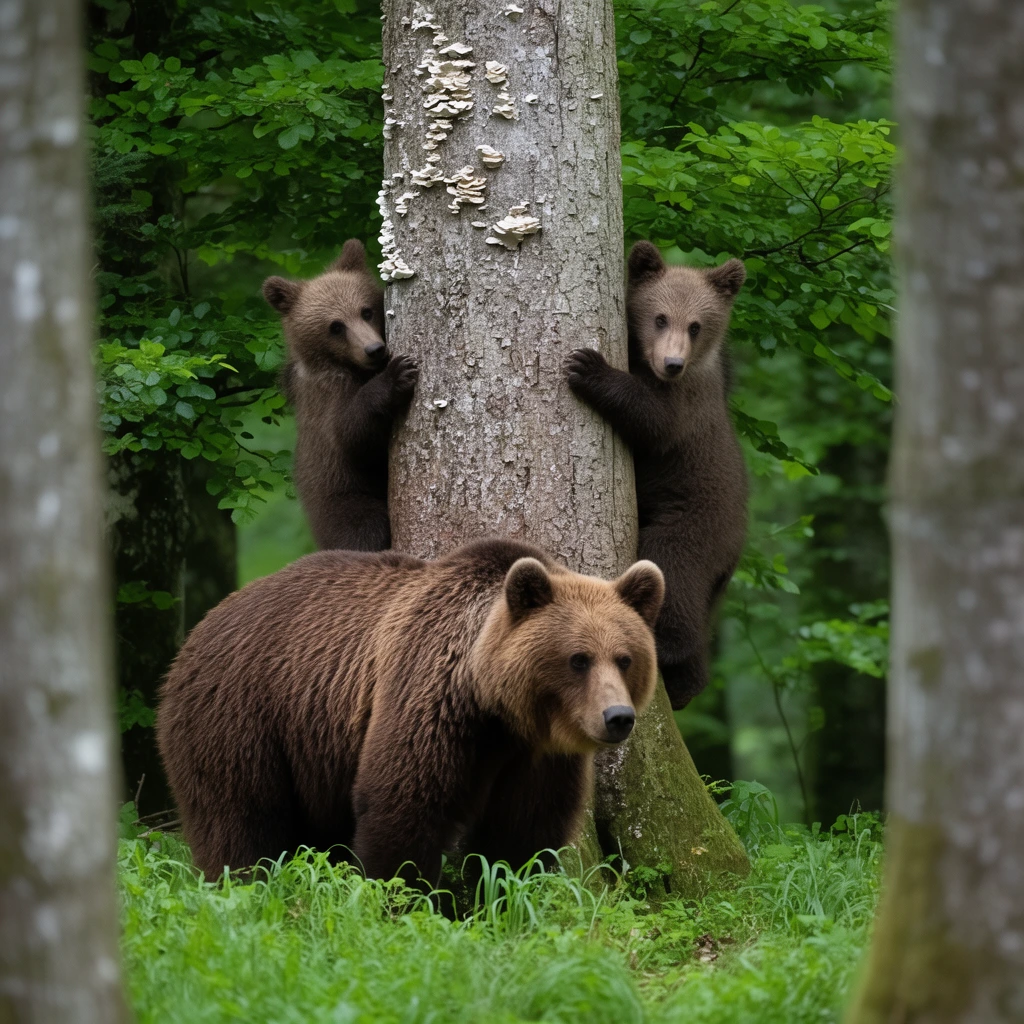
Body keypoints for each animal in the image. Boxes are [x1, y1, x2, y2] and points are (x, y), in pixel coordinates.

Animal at [156, 537, 665, 885]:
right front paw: (404, 898)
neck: (496, 707)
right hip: (242, 716)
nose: (618, 717)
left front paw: (504, 896)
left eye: (625, 658)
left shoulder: (536, 758)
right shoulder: (430, 698)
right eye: (578, 659)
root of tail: (202, 627)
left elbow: (523, 831)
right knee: (240, 818)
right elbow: (405, 804)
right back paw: (245, 883)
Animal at [262, 238, 418, 552]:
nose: (374, 349)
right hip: (344, 500)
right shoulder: (327, 394)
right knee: (365, 530)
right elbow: (349, 431)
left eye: (366, 311)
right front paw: (397, 375)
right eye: (335, 326)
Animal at [564, 241, 748, 710]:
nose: (672, 362)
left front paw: (587, 366)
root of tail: (734, 550)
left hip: (691, 525)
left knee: (671, 575)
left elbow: (653, 418)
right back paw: (686, 686)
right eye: (660, 316)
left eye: (696, 325)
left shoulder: (686, 405)